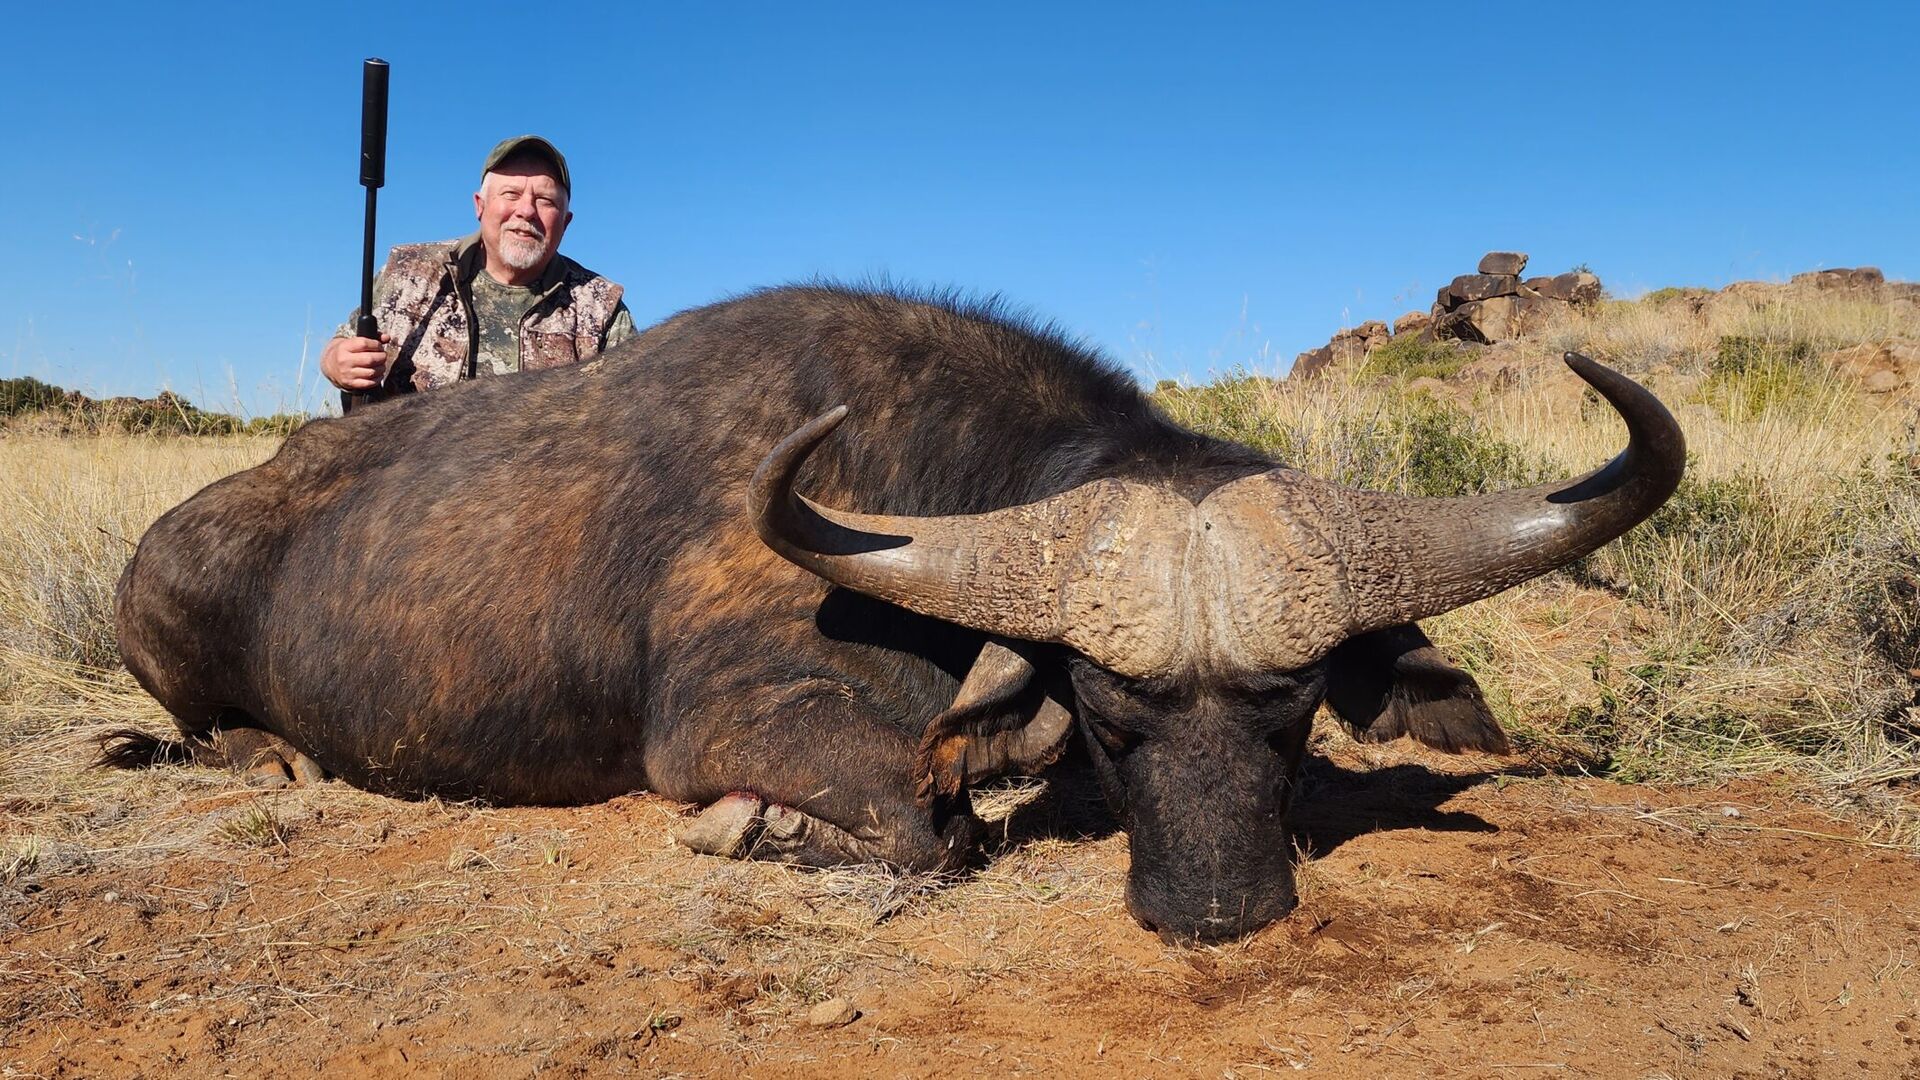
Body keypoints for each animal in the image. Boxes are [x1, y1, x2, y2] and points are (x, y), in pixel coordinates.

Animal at [105, 286, 1683, 942]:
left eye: (1293, 715)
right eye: (1108, 714)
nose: (1218, 914)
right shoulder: (731, 725)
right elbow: (926, 831)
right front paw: (756, 831)